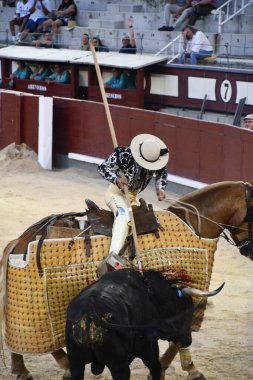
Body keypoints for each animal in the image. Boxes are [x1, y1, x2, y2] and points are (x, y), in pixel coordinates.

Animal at [66, 268, 201, 378]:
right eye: (185, 311)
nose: (188, 341)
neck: (151, 295)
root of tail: (89, 306)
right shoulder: (149, 347)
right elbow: (155, 368)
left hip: (76, 364)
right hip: (120, 367)